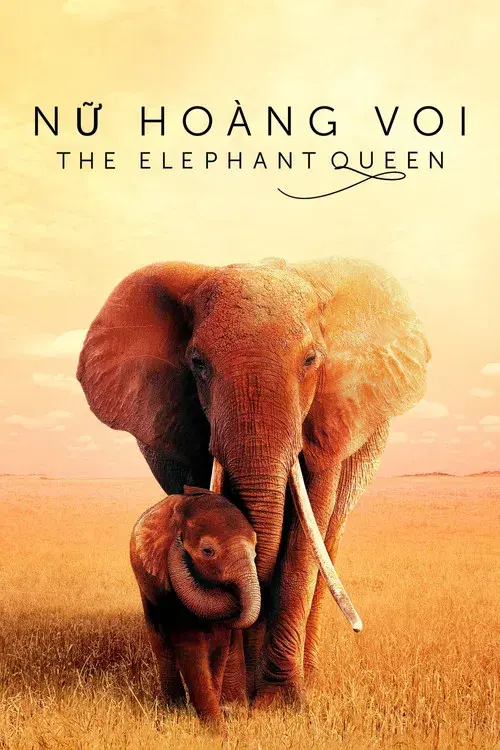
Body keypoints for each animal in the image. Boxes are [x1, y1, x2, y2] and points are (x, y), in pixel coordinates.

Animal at [130, 485, 260, 721]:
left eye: (255, 551)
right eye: (208, 551)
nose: (178, 542)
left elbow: (219, 644)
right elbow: (188, 640)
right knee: (161, 644)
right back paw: (174, 707)